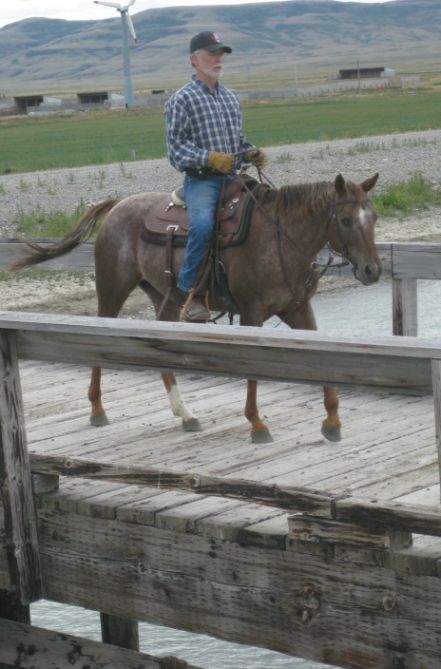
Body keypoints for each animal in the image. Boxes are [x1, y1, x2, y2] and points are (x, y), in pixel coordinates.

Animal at [10, 172, 382, 444]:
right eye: (345, 220)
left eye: (373, 217)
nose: (373, 270)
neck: (279, 237)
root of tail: (118, 205)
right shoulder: (251, 315)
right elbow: (252, 372)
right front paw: (257, 424)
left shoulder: (298, 309)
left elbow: (323, 363)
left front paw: (332, 420)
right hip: (112, 291)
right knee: (99, 343)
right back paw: (97, 409)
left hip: (164, 299)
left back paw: (186, 414)